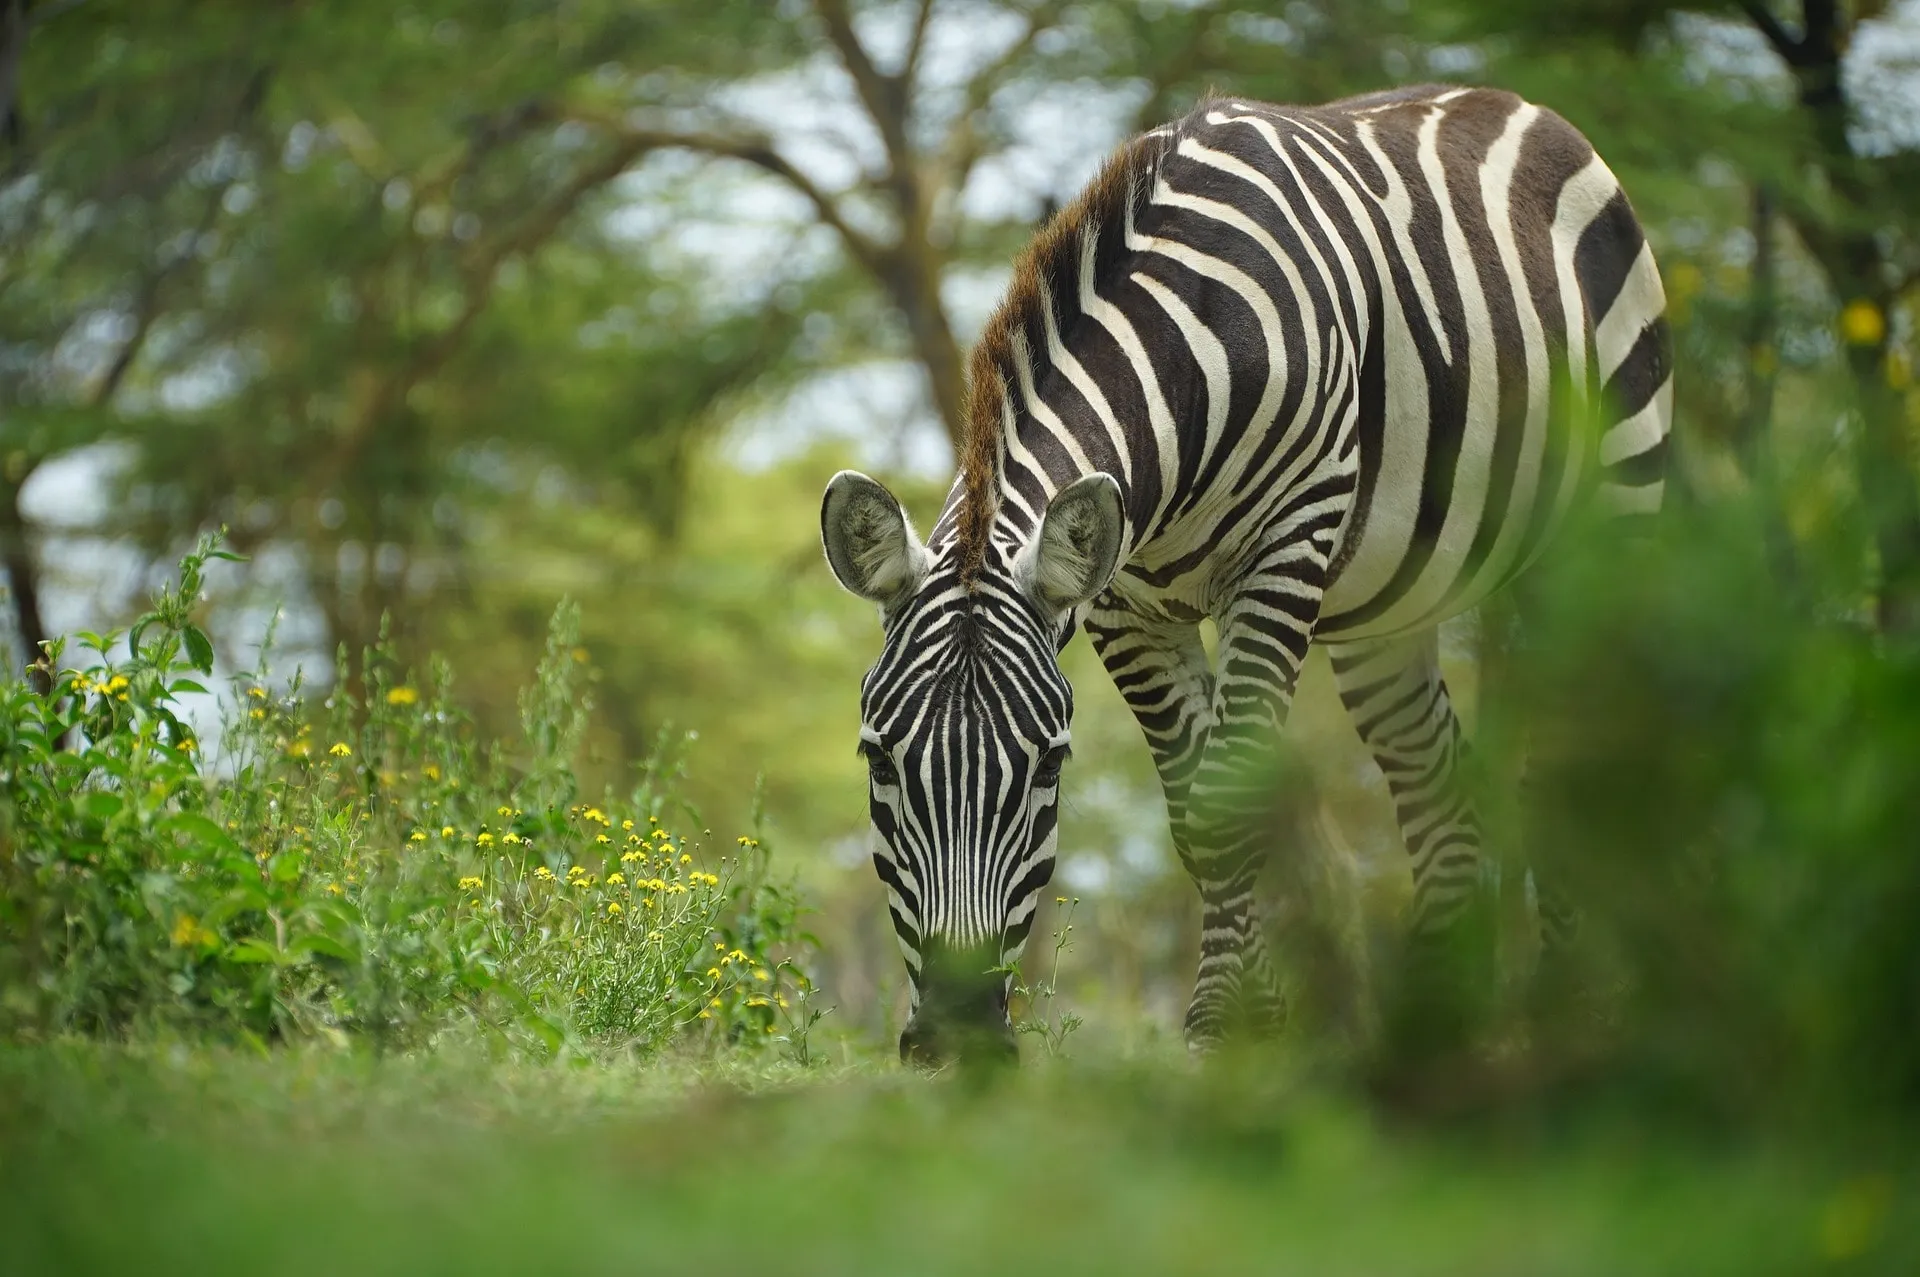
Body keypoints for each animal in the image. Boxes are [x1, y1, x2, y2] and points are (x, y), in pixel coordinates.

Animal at [817, 84, 1674, 1060]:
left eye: (1049, 766)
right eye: (878, 758)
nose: (958, 1035)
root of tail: (1512, 100)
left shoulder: (1283, 551)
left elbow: (1230, 798)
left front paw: (1225, 1023)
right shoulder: (1124, 604)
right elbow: (1194, 810)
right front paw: (1254, 1017)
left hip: (1601, 517)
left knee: (1572, 754)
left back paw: (1571, 1009)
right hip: (1389, 608)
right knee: (1438, 783)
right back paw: (1432, 1024)